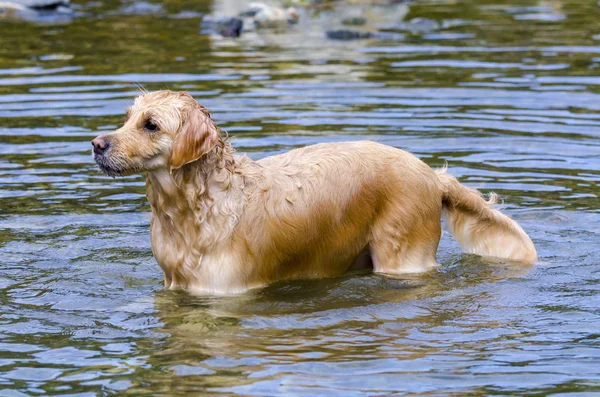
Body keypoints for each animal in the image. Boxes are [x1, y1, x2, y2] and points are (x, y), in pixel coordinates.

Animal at [94, 90, 540, 294]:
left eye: (151, 124)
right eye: (127, 117)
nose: (97, 144)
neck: (191, 209)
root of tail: (431, 174)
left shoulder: (227, 291)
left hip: (402, 255)